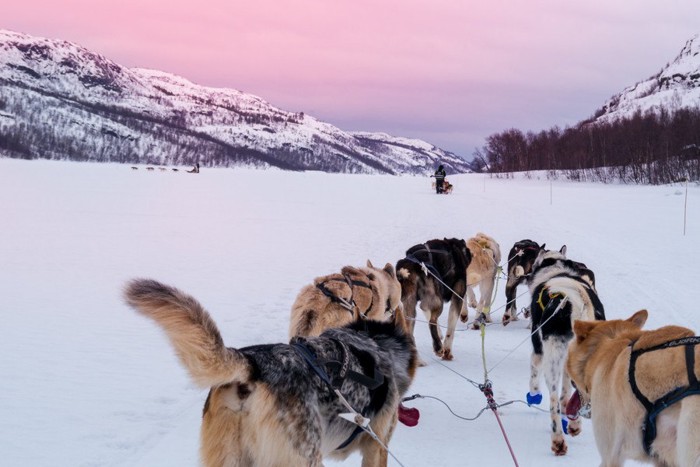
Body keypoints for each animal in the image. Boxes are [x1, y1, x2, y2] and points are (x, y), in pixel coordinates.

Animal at [528, 247, 604, 456]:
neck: (555, 268)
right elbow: (566, 392)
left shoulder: (538, 349)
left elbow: (534, 373)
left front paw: (533, 395)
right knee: (574, 396)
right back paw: (573, 424)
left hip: (551, 360)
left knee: (553, 401)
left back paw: (558, 439)